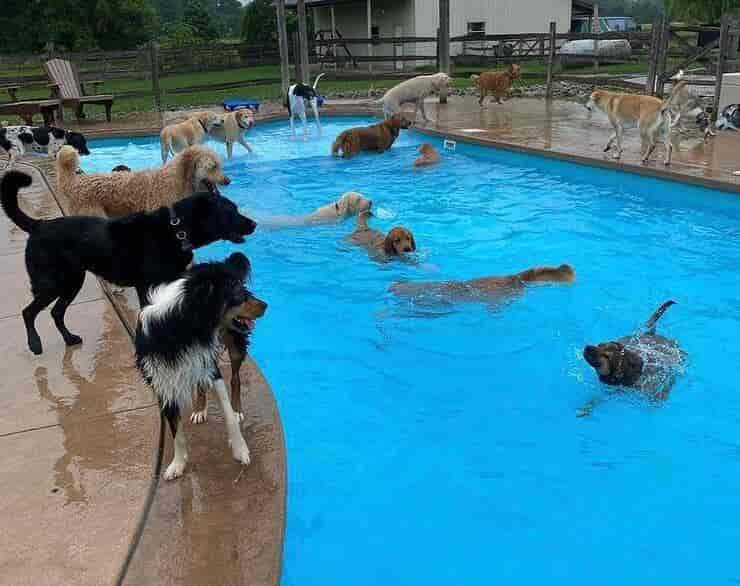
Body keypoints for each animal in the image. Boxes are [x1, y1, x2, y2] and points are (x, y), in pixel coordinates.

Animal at [136, 252, 268, 480]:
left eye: (242, 288)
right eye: (238, 293)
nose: (266, 305)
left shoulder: (211, 368)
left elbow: (227, 413)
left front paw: (240, 449)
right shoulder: (163, 382)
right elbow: (176, 432)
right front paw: (178, 464)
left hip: (234, 344)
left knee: (235, 378)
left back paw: (237, 409)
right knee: (200, 385)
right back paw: (199, 408)